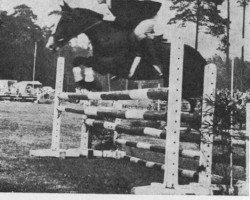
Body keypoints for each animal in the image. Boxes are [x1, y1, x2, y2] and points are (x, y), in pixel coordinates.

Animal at [47, 1, 207, 101]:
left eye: (66, 20)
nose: (50, 45)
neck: (107, 36)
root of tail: (201, 59)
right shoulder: (101, 65)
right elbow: (78, 60)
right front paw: (86, 84)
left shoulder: (109, 64)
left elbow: (84, 60)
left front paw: (90, 84)